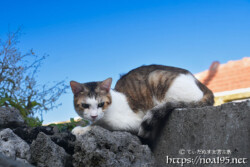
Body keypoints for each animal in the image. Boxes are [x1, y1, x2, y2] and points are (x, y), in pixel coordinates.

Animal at [69, 64, 214, 140]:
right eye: (85, 105)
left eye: (101, 104)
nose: (93, 115)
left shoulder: (134, 121)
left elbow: (99, 124)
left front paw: (81, 129)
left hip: (156, 77)